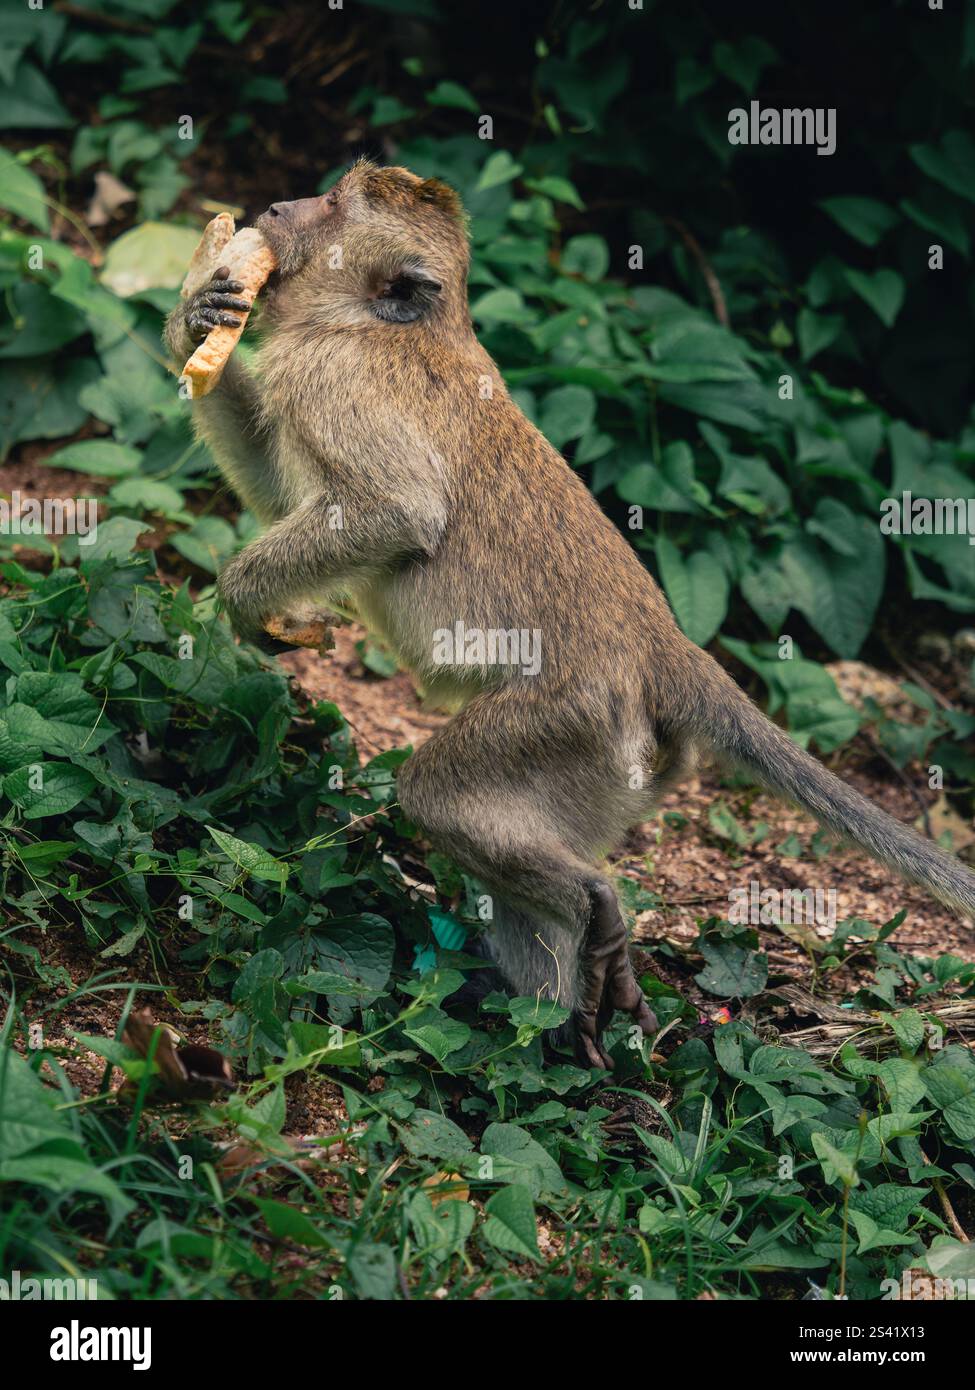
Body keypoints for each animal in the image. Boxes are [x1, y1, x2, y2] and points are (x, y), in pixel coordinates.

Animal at [164, 159, 975, 1069]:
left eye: (333, 205)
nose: (276, 206)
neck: (375, 323)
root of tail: (666, 649)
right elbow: (280, 490)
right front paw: (198, 315)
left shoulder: (333, 377)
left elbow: (393, 514)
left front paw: (243, 597)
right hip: (620, 771)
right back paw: (545, 1018)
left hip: (569, 722)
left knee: (438, 795)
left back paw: (588, 907)